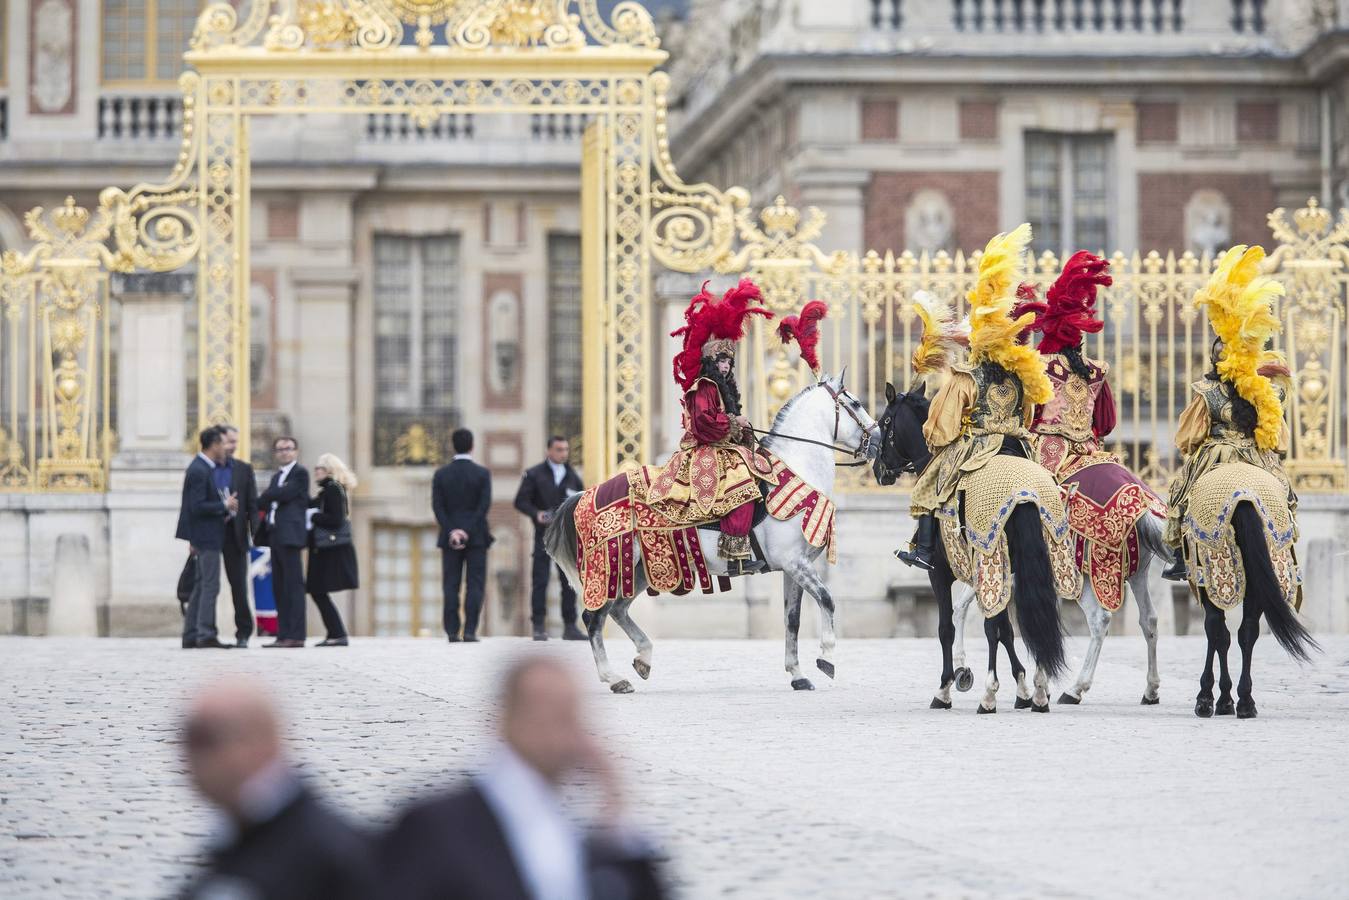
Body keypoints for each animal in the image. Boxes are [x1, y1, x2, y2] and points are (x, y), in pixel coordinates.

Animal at [542, 369, 879, 696]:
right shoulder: (795, 563)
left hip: (640, 570)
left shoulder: (792, 567)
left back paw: (643, 658)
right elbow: (828, 600)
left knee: (618, 611)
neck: (797, 470)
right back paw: (613, 678)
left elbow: (792, 620)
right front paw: (826, 658)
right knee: (594, 617)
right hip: (613, 569)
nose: (877, 439)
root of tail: (584, 494)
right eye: (857, 402)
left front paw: (798, 675)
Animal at [874, 380, 1063, 712]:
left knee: (993, 626)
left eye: (884, 422)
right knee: (1037, 615)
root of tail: (1025, 490)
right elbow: (1007, 629)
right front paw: (1023, 687)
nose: (878, 470)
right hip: (1032, 560)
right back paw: (1040, 691)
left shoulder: (940, 572)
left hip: (991, 558)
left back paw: (989, 695)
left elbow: (948, 628)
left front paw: (945, 688)